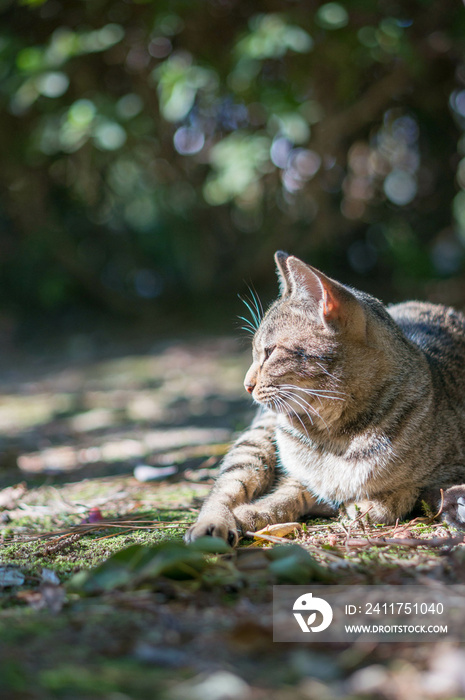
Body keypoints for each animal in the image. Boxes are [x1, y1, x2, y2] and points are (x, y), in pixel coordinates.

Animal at [184, 252, 465, 548]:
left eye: (270, 352)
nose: (246, 385)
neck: (337, 436)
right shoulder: (300, 473)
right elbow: (289, 492)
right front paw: (253, 513)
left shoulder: (451, 472)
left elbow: (407, 493)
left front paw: (374, 503)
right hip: (256, 440)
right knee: (225, 487)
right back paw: (213, 524)